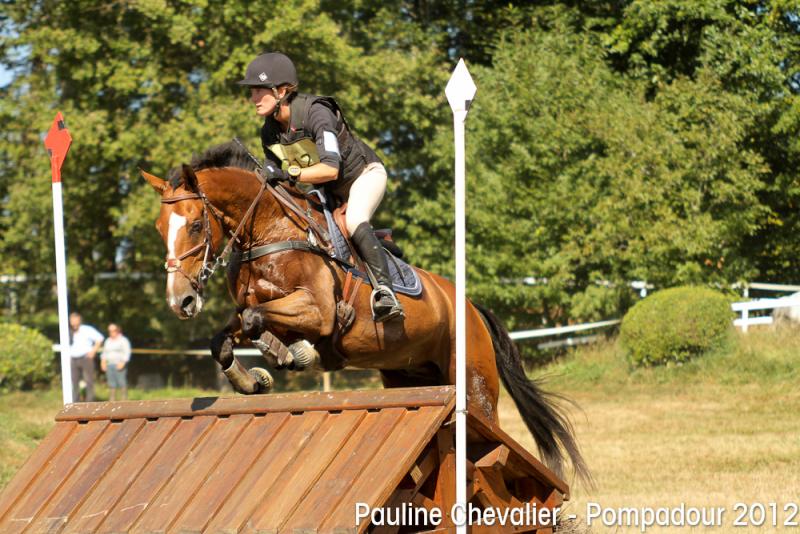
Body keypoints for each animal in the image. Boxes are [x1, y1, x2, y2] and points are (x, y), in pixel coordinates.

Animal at [141, 141, 590, 484]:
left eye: (195, 226)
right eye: (160, 229)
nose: (180, 301)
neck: (270, 231)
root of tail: (470, 308)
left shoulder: (318, 311)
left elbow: (258, 321)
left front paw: (292, 354)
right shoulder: (257, 309)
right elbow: (229, 334)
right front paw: (252, 380)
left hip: (473, 386)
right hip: (410, 377)